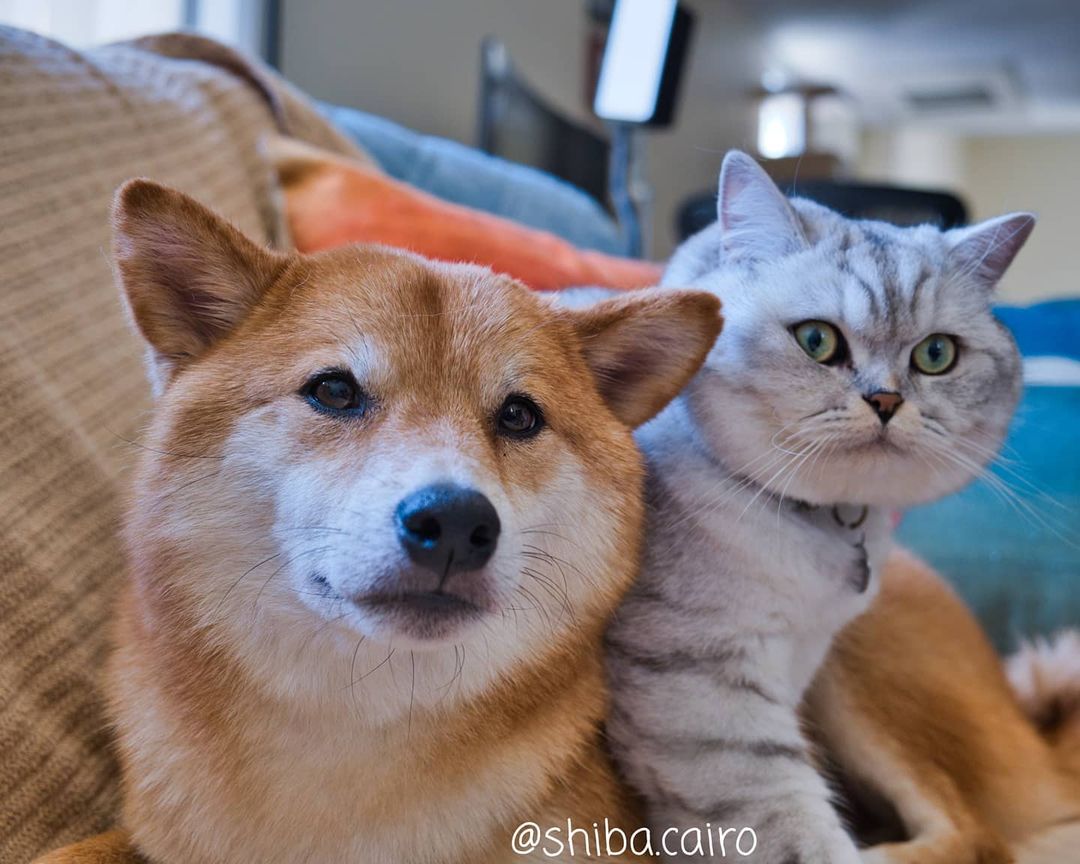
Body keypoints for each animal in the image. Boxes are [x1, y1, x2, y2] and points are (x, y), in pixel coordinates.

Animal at [609, 152, 1036, 864]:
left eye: (936, 354)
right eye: (816, 341)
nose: (887, 401)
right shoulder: (697, 691)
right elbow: (791, 829)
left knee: (972, 833)